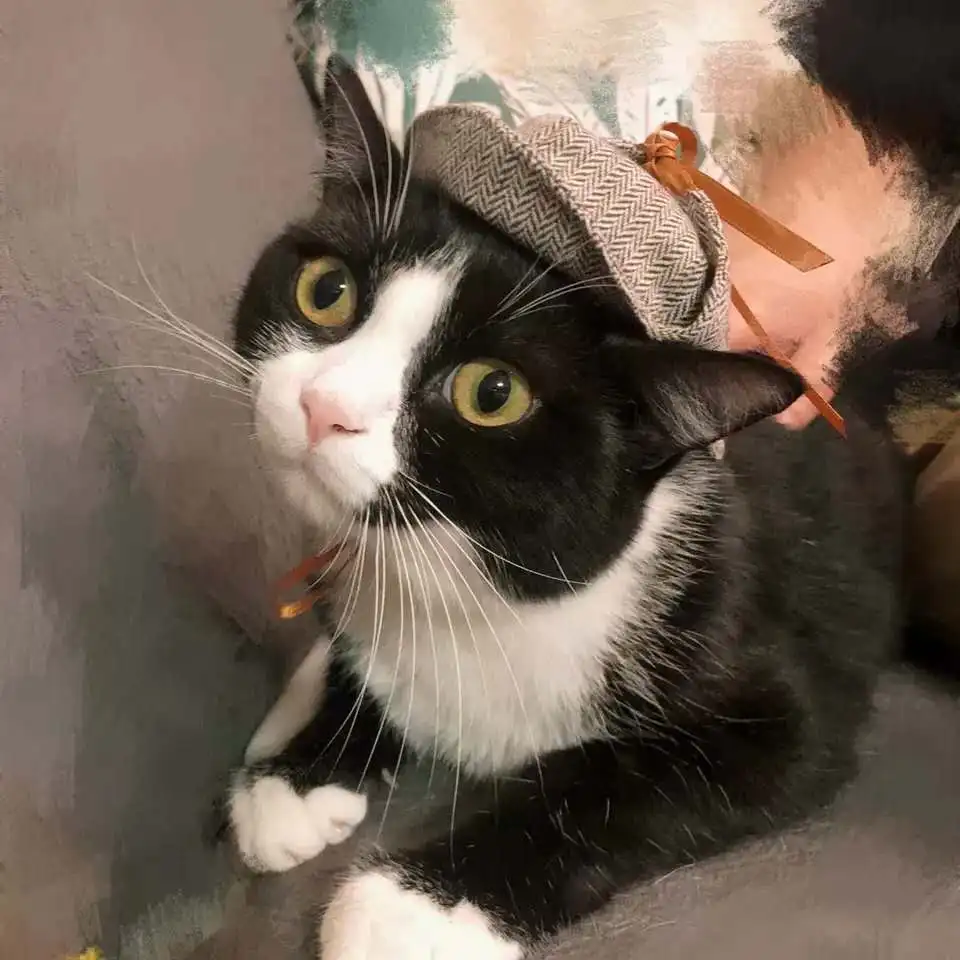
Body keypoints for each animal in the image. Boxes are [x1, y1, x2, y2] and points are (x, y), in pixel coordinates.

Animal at [226, 56, 911, 959]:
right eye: (326, 290)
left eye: (492, 394)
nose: (321, 406)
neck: (472, 586)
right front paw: (295, 778)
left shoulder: (780, 691)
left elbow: (630, 783)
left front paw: (408, 906)